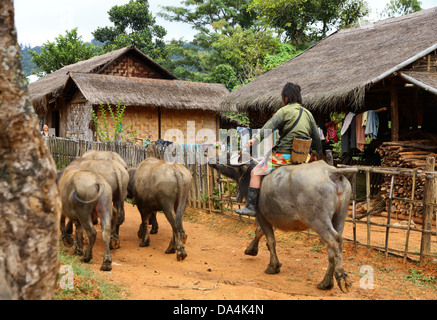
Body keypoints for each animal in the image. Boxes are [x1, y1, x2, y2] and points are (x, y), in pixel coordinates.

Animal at [209, 158, 356, 292]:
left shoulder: (261, 215)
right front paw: (251, 249)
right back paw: (326, 283)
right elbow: (260, 233)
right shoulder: (270, 217)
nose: (211, 161)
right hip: (340, 216)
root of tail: (330, 171)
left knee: (335, 240)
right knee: (334, 247)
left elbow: (270, 240)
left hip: (317, 220)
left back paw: (342, 277)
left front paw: (273, 266)